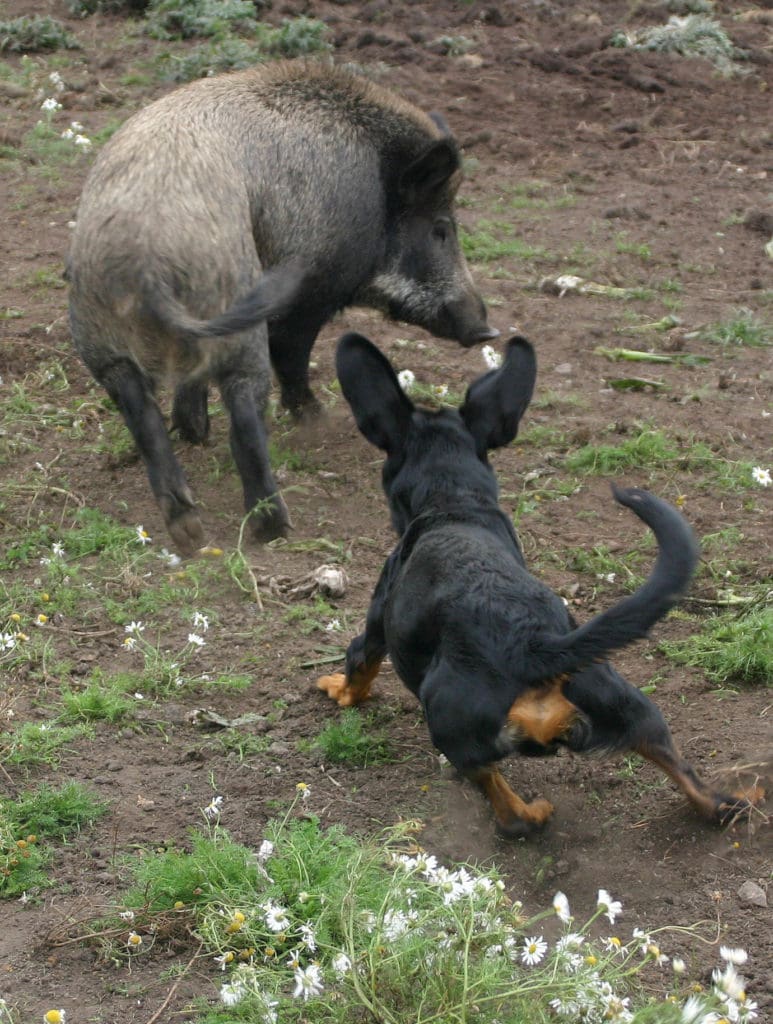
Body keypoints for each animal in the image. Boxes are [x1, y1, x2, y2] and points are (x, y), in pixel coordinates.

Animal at [319, 331, 761, 835]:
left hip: (452, 723)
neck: (453, 502)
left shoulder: (376, 623)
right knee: (699, 786)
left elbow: (359, 663)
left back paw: (532, 812)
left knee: (505, 806)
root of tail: (528, 642)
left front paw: (337, 688)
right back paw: (733, 801)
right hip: (627, 701)